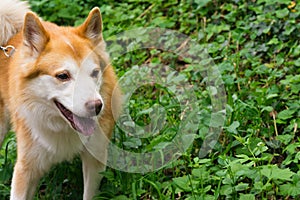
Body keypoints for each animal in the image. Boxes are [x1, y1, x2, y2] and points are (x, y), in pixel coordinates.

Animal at [0, 0, 122, 199]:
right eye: (63, 76)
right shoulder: (25, 169)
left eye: (94, 73)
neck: (62, 126)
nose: (97, 106)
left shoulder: (95, 159)